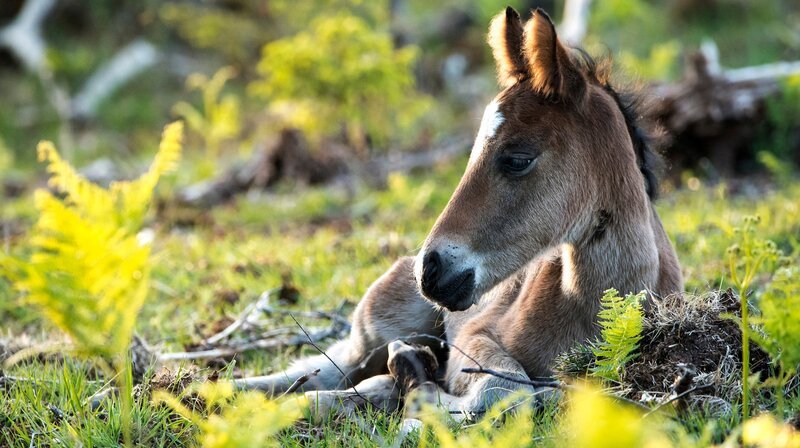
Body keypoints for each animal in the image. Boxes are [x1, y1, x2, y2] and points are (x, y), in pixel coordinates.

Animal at [234, 7, 683, 416]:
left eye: (517, 159)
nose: (430, 270)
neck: (590, 309)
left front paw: (415, 385)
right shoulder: (475, 335)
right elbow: (506, 389)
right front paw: (421, 391)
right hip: (379, 324)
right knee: (327, 367)